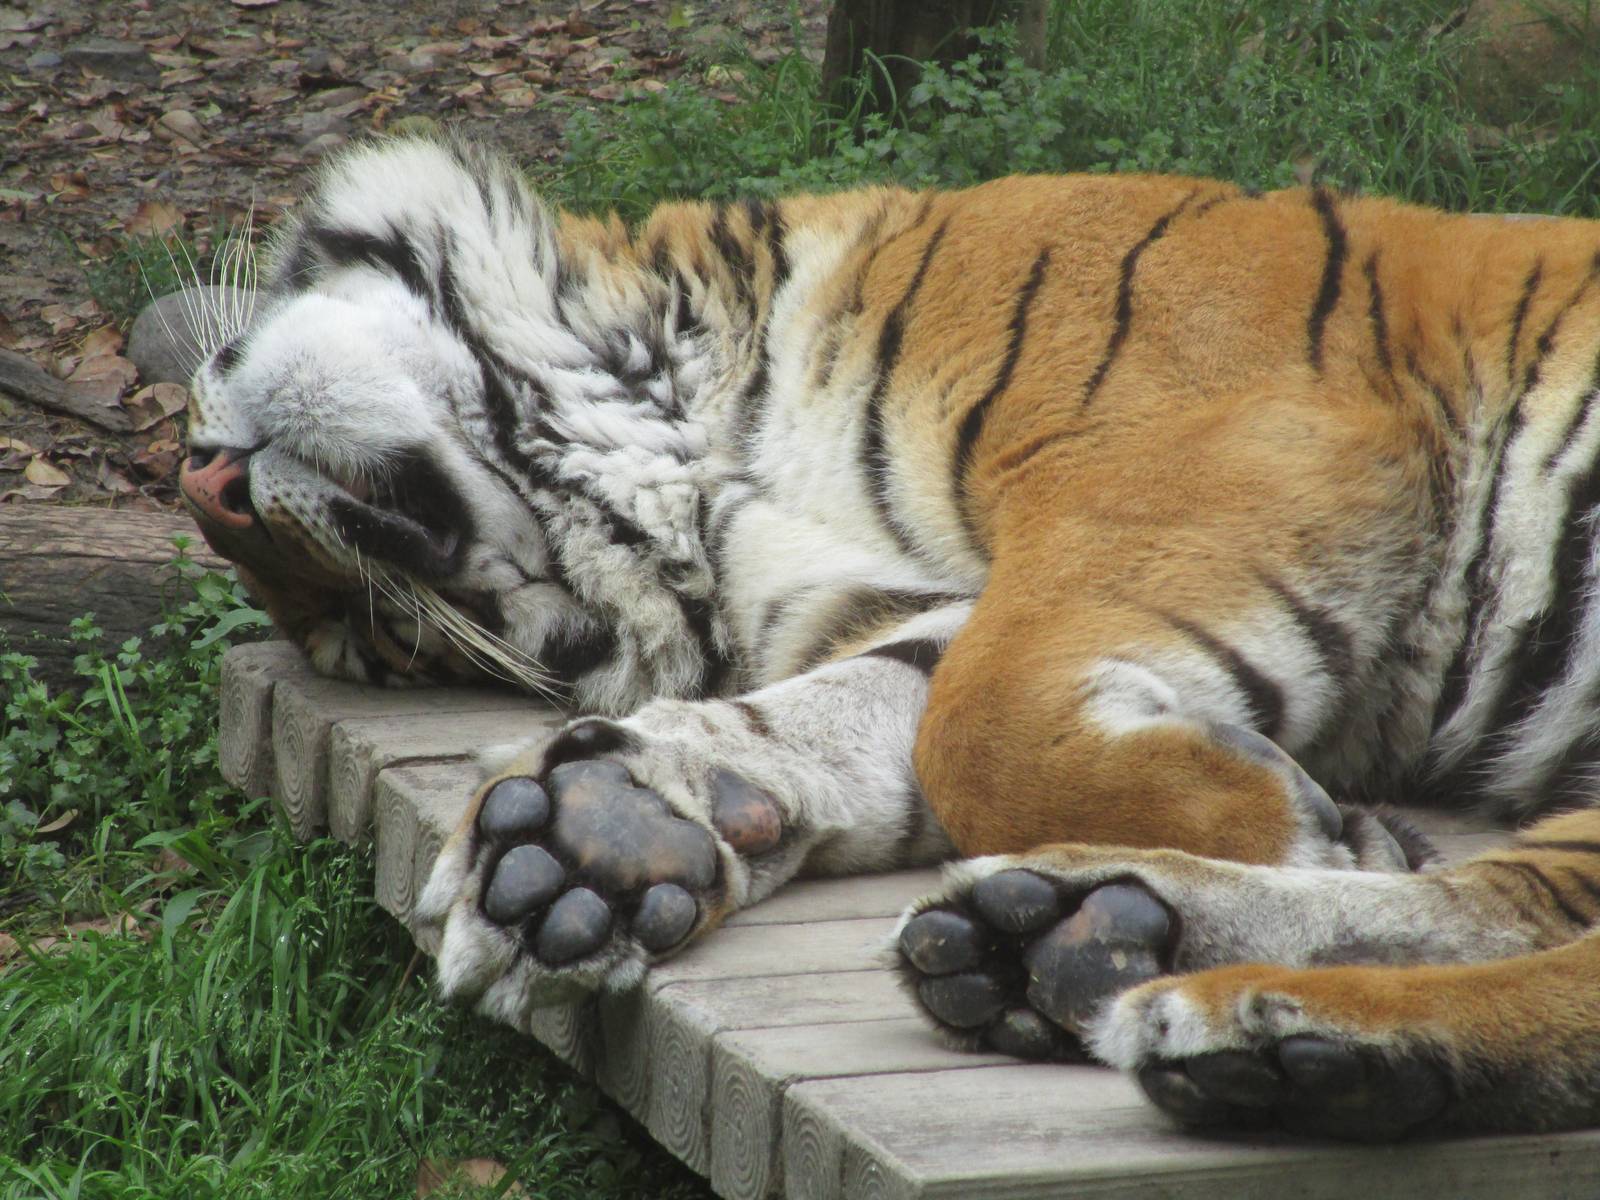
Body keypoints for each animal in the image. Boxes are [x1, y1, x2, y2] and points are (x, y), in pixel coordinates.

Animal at [178, 133, 1600, 1141]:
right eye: (375, 641)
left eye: (347, 616)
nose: (207, 485)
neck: (696, 453)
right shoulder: (926, 594)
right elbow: (895, 714)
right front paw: (592, 837)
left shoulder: (1240, 439)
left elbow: (977, 721)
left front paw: (1290, 818)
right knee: (1522, 908)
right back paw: (1111, 957)